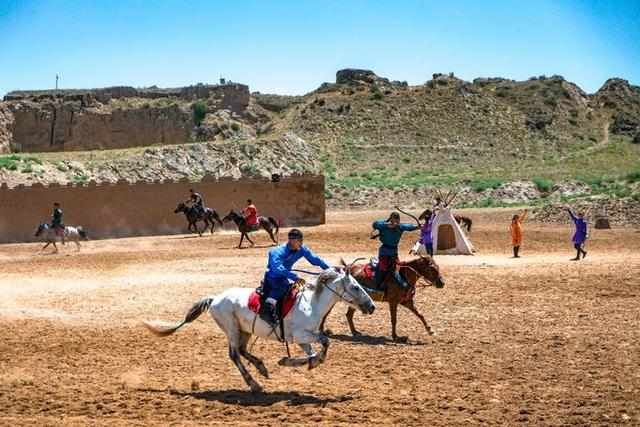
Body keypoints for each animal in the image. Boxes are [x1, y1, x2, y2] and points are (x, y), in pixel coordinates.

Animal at [144, 266, 376, 392]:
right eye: (355, 286)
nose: (372, 306)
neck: (311, 304)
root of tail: (215, 299)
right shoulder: (300, 335)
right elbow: (325, 342)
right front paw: (294, 361)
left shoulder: (304, 339)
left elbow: (316, 350)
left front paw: (303, 362)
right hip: (231, 328)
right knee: (234, 354)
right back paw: (254, 383)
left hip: (245, 331)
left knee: (243, 350)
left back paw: (262, 368)